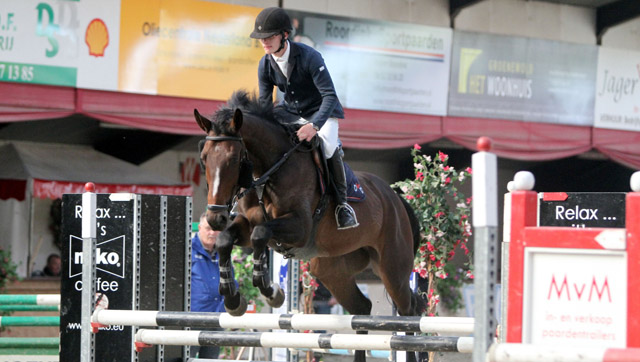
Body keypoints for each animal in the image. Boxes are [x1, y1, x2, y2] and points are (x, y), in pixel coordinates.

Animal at [192, 90, 428, 360]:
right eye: (204, 158)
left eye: (234, 159)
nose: (215, 218)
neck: (269, 172)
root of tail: (396, 198)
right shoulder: (246, 224)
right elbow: (225, 240)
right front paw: (233, 300)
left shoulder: (299, 228)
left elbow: (260, 235)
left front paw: (272, 292)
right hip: (331, 270)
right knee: (362, 307)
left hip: (392, 268)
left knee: (409, 310)